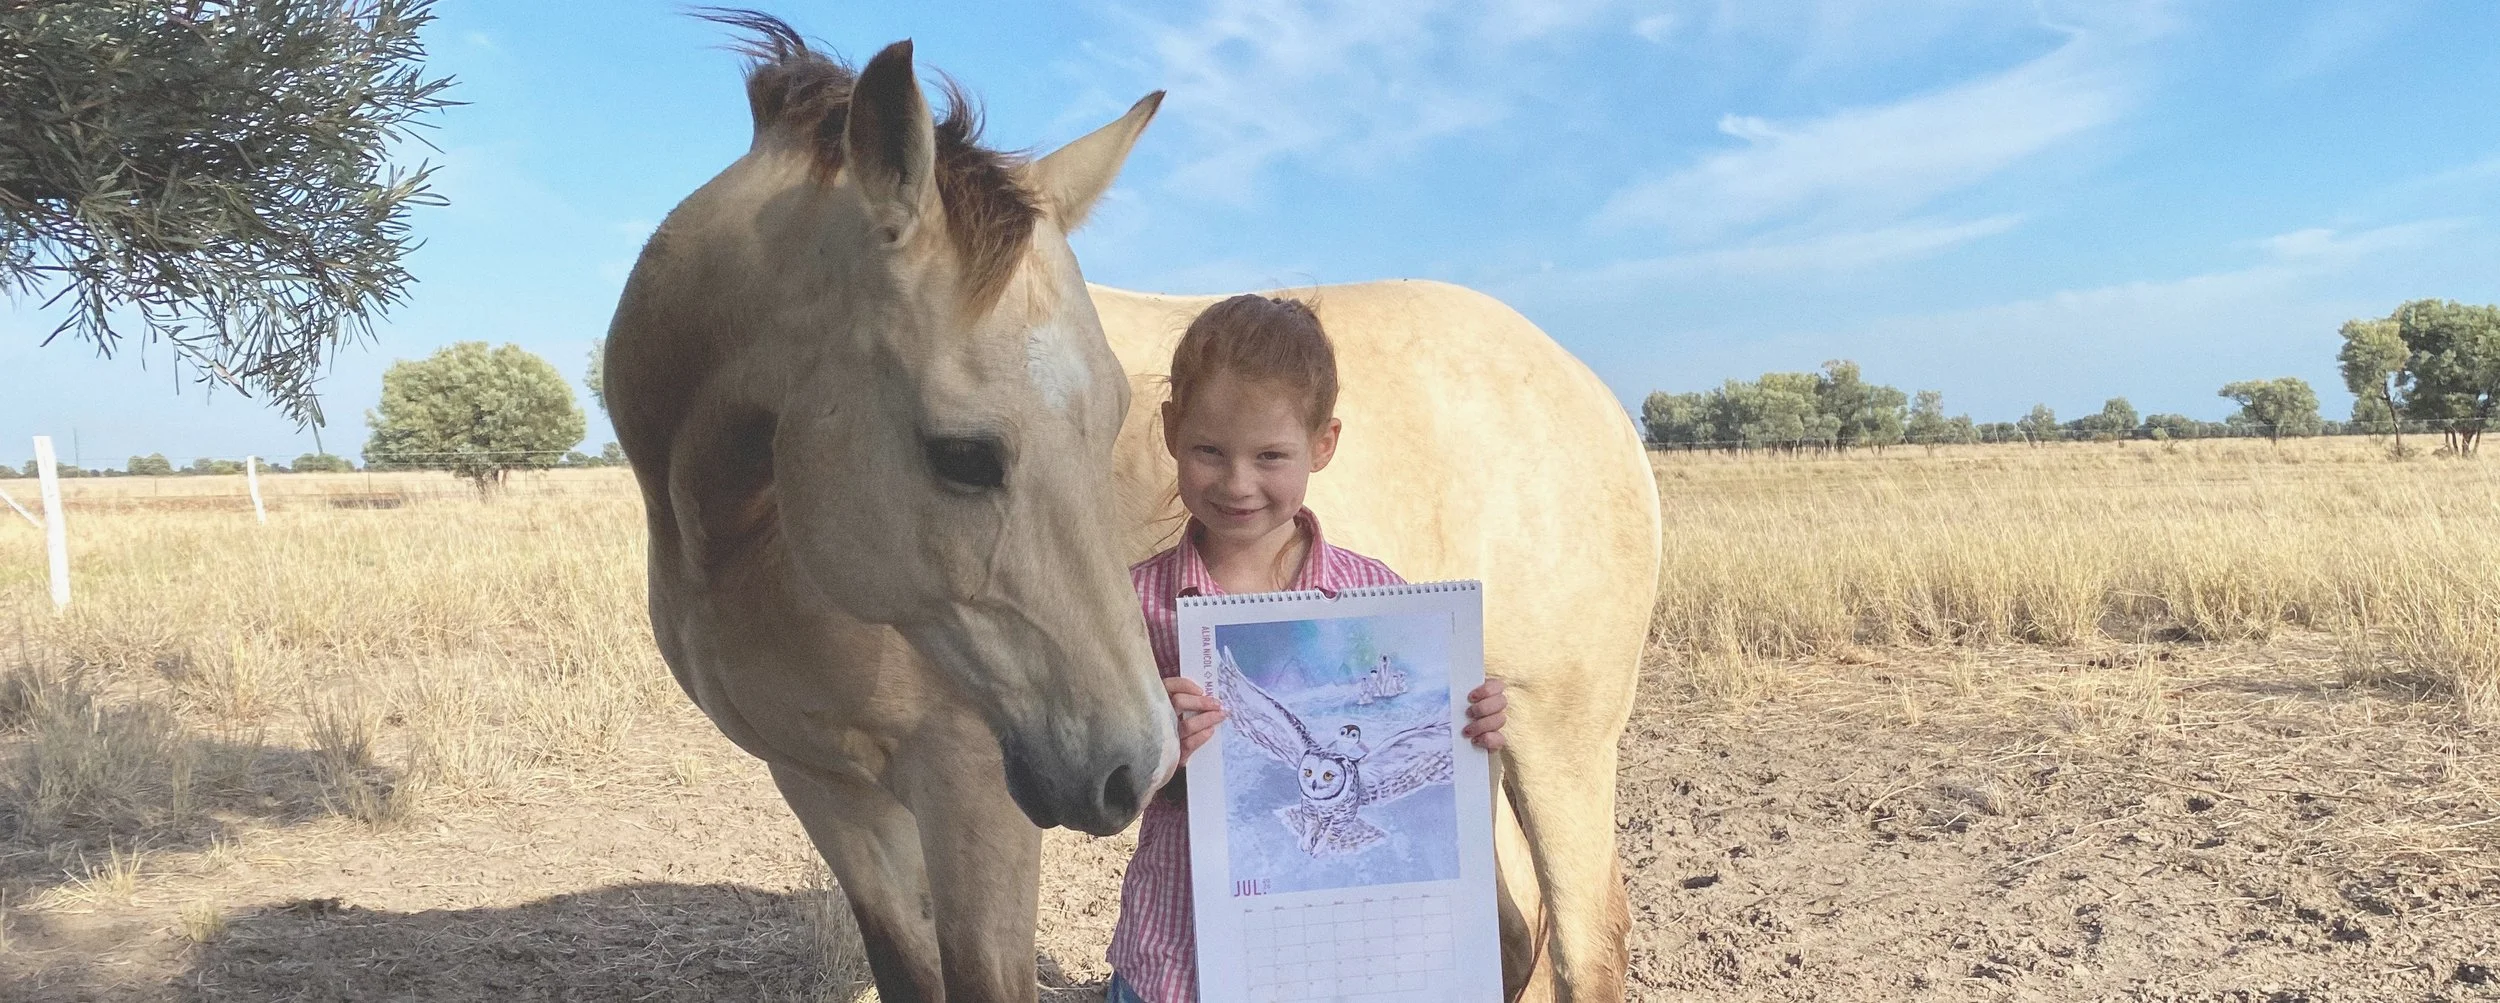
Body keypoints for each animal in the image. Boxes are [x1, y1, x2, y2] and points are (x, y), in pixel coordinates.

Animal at [605, 13, 1659, 1002]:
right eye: (962, 455)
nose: (1135, 766)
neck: (743, 540)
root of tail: (1596, 395)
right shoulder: (828, 792)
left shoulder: (971, 794)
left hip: (1556, 739)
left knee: (1583, 942)